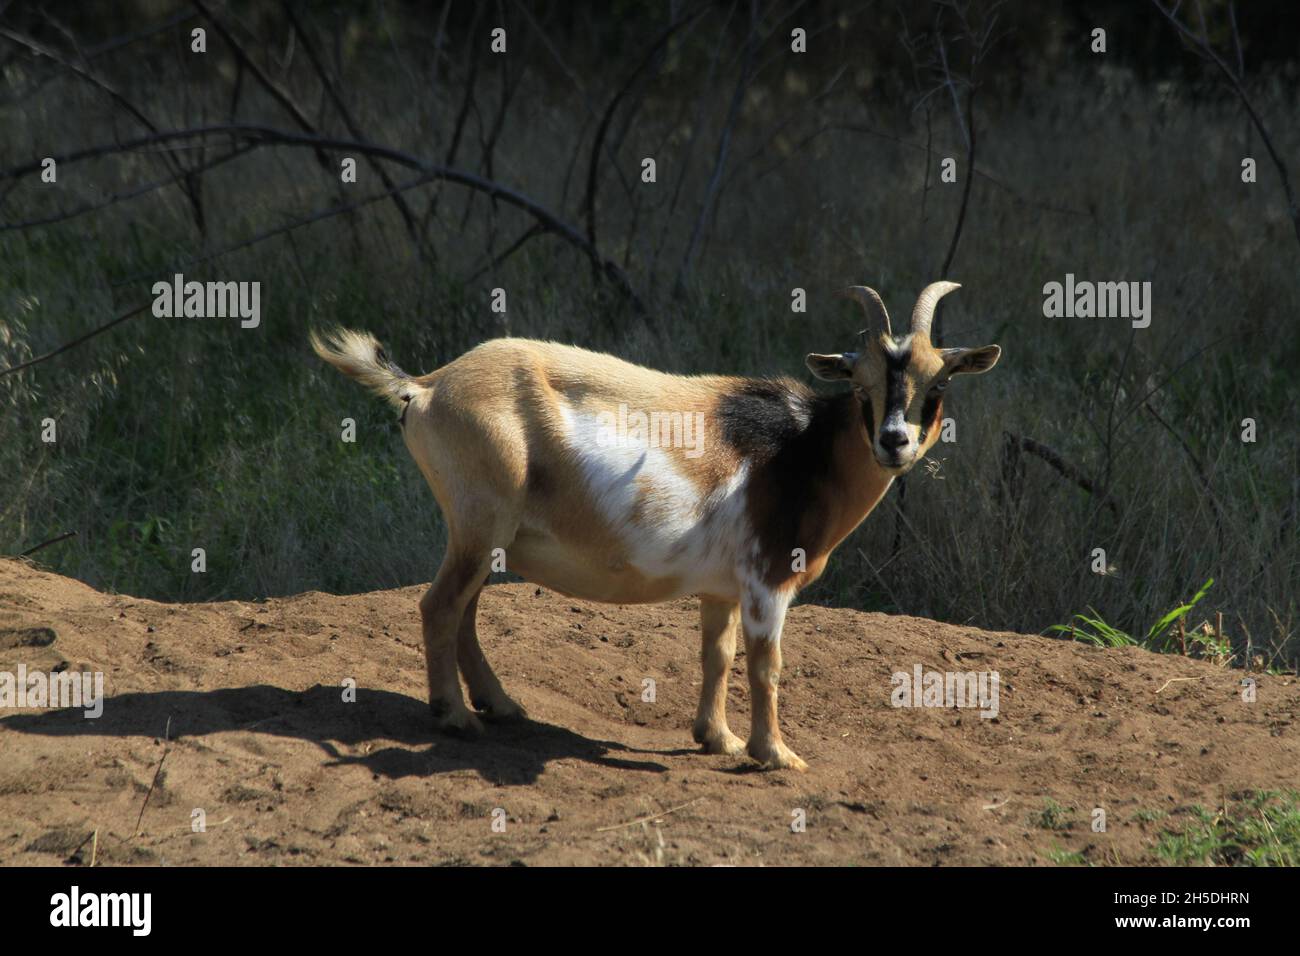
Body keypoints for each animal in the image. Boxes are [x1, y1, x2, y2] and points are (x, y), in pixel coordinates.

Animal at [309, 280, 998, 775]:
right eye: (860, 383)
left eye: (938, 382)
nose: (894, 441)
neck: (802, 451)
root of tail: (424, 386)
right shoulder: (767, 581)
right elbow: (766, 664)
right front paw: (775, 755)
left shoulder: (722, 588)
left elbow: (717, 654)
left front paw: (717, 739)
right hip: (481, 527)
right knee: (440, 606)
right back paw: (457, 718)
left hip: (487, 539)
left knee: (465, 613)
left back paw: (501, 707)